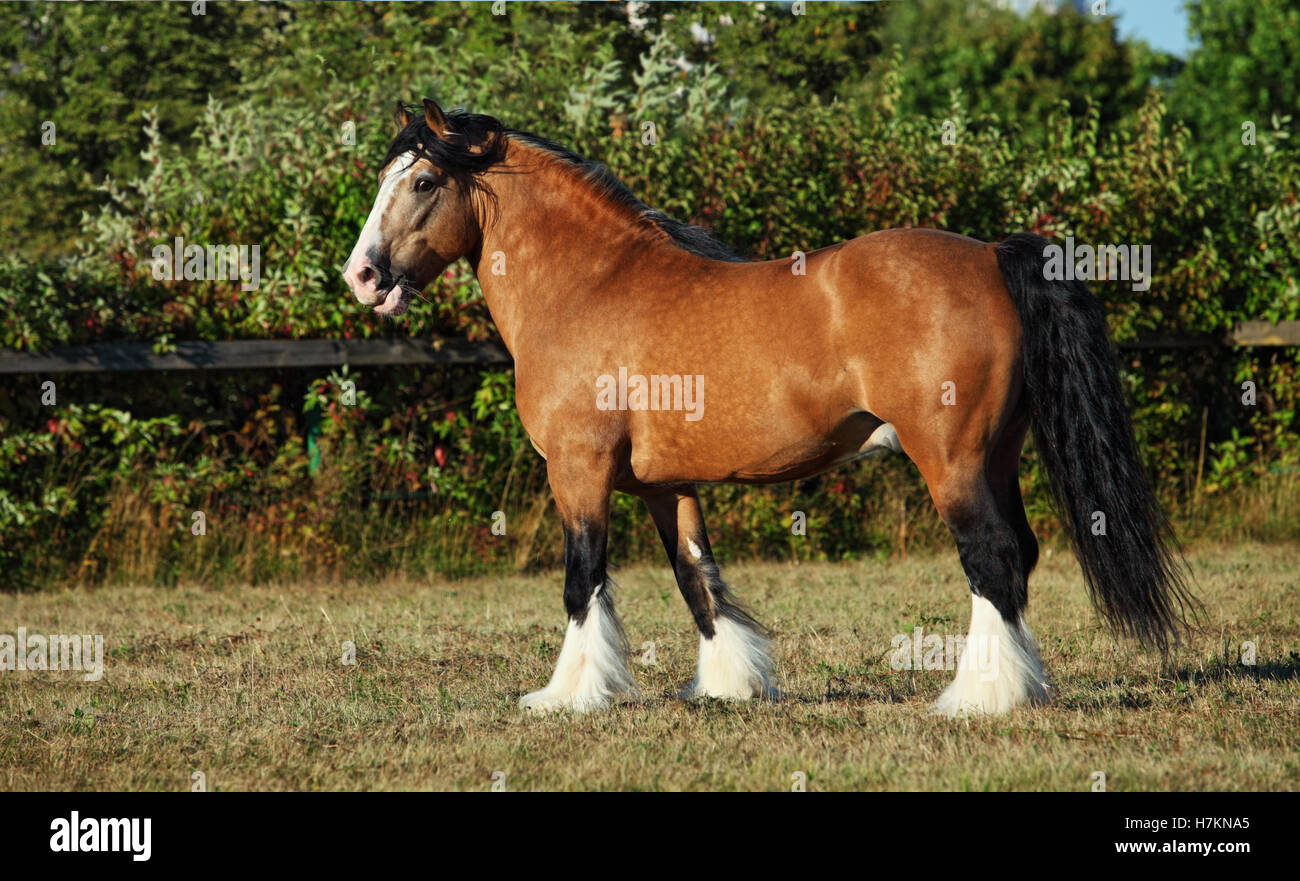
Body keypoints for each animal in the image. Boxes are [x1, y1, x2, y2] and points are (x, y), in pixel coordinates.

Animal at [340, 98, 1190, 717]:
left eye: (422, 182)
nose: (362, 276)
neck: (592, 284)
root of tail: (987, 254)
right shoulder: (666, 485)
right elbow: (698, 579)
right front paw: (730, 685)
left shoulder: (580, 472)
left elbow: (583, 581)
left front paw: (566, 695)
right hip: (998, 455)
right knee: (1018, 558)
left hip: (952, 458)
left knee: (993, 558)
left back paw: (979, 696)